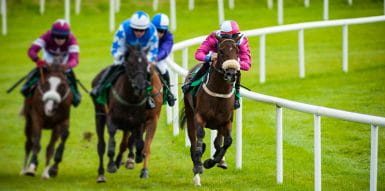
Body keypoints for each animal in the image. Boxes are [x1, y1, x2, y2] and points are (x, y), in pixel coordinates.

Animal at [92, 44, 163, 182]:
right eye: (130, 63)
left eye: (147, 67)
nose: (140, 87)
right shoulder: (113, 119)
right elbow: (114, 142)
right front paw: (112, 164)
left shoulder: (146, 121)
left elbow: (142, 144)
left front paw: (142, 167)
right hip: (99, 115)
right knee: (101, 145)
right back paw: (102, 173)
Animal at [180, 35, 240, 185]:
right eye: (221, 51)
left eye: (237, 51)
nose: (231, 73)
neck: (219, 92)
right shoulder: (199, 117)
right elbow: (200, 137)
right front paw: (199, 165)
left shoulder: (226, 121)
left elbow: (228, 141)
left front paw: (212, 161)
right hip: (190, 114)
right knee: (193, 140)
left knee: (218, 141)